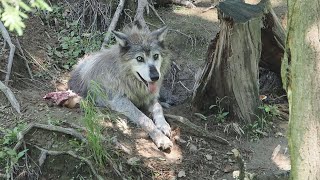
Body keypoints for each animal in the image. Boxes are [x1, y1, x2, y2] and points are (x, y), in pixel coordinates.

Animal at [67, 21, 172, 150]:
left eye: (156, 56)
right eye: (139, 58)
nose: (155, 76)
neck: (128, 80)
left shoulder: (149, 98)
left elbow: (158, 108)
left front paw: (164, 126)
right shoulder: (120, 101)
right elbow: (145, 119)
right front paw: (160, 138)